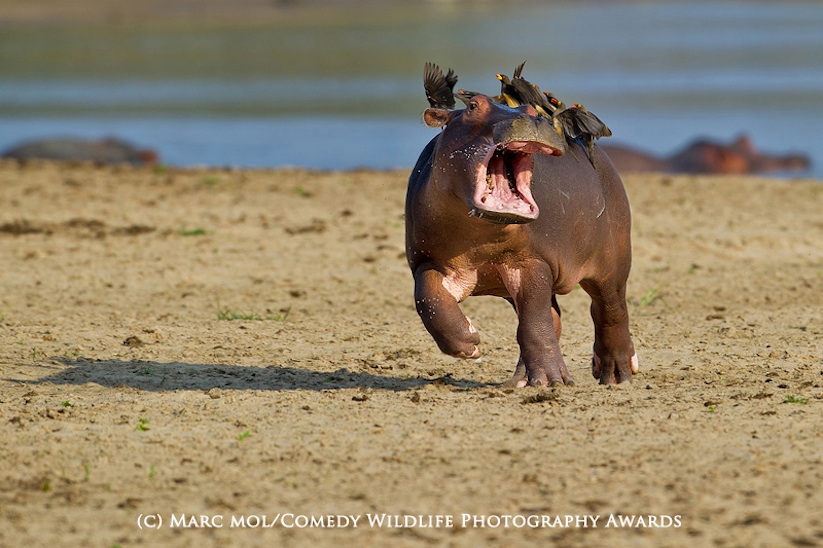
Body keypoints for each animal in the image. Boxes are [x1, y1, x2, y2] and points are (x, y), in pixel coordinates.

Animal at [408, 94, 640, 386]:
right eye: (473, 106)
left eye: (532, 109)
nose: (533, 119)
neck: (481, 236)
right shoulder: (428, 261)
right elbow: (429, 298)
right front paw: (469, 344)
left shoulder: (532, 261)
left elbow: (535, 322)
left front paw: (552, 381)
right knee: (554, 318)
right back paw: (519, 380)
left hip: (613, 262)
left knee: (610, 310)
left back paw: (616, 375)